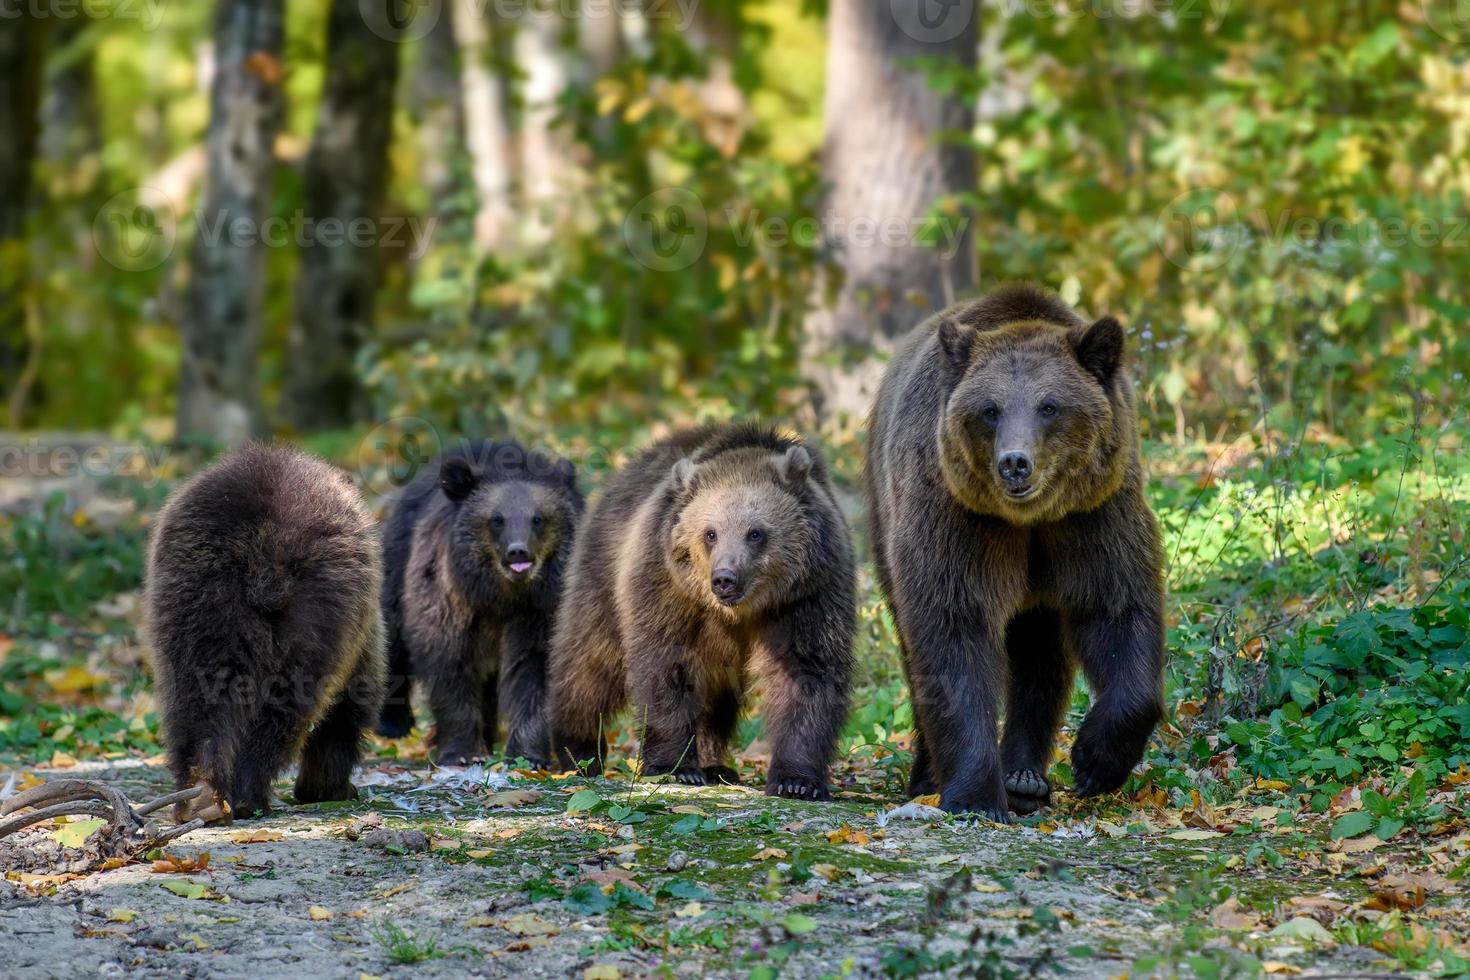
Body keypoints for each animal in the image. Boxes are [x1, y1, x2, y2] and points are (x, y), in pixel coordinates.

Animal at [141, 443, 385, 822]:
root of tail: (266, 549)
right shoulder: (362, 638)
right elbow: (349, 708)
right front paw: (330, 786)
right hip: (319, 605)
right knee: (287, 703)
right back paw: (247, 792)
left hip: (198, 597)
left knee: (195, 695)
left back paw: (200, 794)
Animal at [376, 440, 582, 769]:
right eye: (497, 519)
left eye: (538, 518)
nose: (518, 552)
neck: (500, 595)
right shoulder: (451, 600)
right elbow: (450, 663)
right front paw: (461, 751)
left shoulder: (540, 608)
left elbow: (534, 670)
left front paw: (528, 755)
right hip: (397, 565)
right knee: (391, 638)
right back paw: (393, 723)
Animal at [864, 282, 1164, 822]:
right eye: (990, 409)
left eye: (1050, 405)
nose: (1015, 463)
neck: (1028, 520)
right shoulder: (958, 517)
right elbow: (953, 628)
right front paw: (976, 795)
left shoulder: (1092, 516)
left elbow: (1117, 607)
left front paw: (1094, 761)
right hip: (885, 517)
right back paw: (931, 776)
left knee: (1040, 656)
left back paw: (1025, 779)